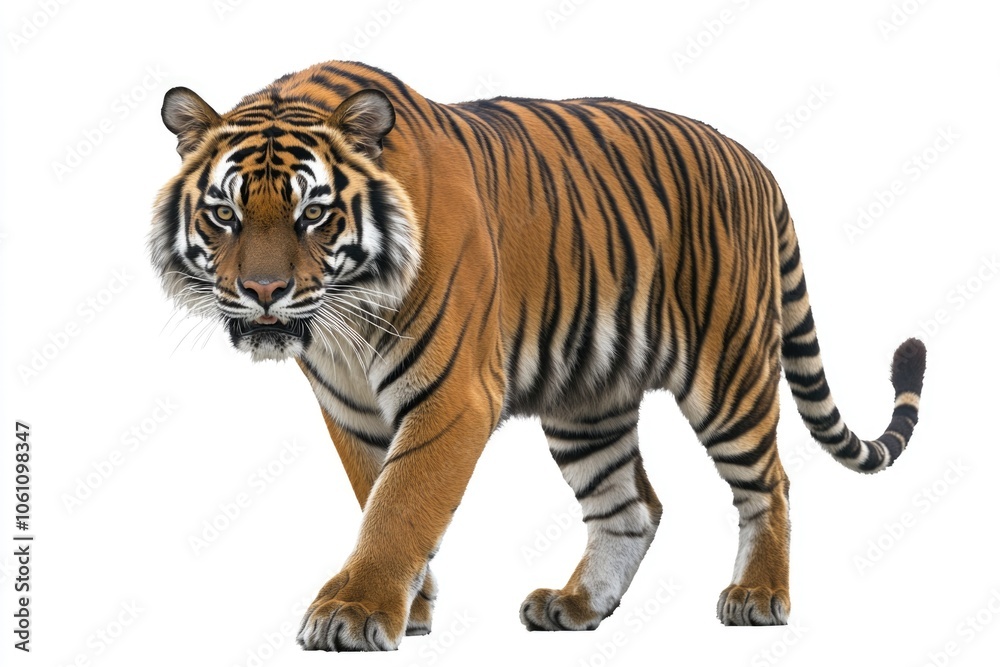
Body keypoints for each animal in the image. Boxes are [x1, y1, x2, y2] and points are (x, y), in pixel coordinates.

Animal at [150, 60, 926, 651]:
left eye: (313, 213)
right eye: (224, 214)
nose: (264, 292)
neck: (345, 319)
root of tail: (757, 164)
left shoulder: (452, 395)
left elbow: (401, 502)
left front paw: (356, 611)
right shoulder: (350, 408)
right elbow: (377, 490)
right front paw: (411, 604)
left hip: (727, 371)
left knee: (769, 482)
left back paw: (757, 595)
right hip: (588, 400)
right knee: (631, 505)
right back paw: (577, 606)